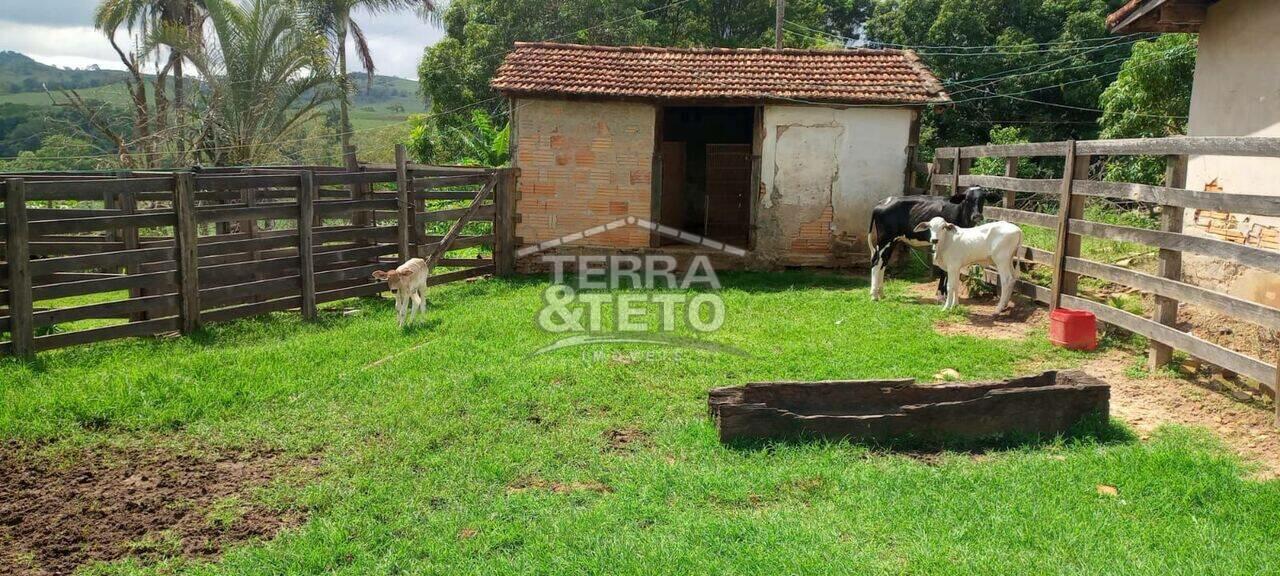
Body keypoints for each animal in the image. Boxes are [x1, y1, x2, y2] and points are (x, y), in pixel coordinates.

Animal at [865, 186, 993, 299]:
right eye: (967, 199)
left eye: (982, 198)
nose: (977, 216)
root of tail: (883, 202)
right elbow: (943, 270)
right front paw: (942, 294)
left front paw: (944, 293)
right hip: (884, 239)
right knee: (876, 262)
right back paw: (874, 295)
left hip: (893, 241)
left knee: (883, 262)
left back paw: (881, 293)